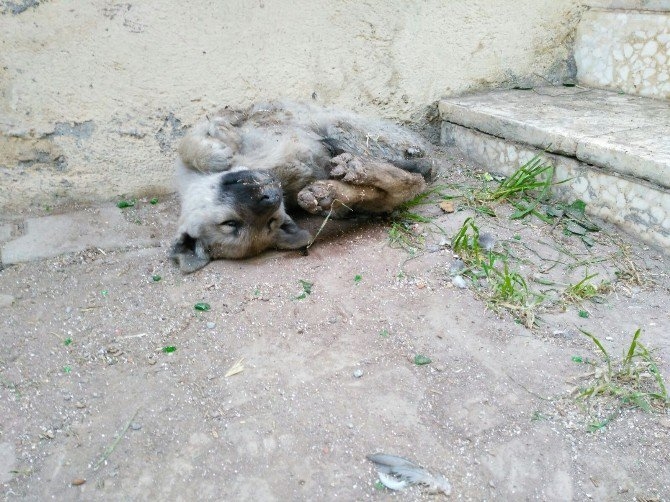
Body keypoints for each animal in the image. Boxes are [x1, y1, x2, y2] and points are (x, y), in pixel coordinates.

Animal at [170, 101, 436, 273]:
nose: (271, 195)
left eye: (228, 223)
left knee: (413, 175)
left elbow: (190, 141)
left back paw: (355, 167)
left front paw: (219, 149)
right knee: (402, 185)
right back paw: (333, 188)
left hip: (346, 129)